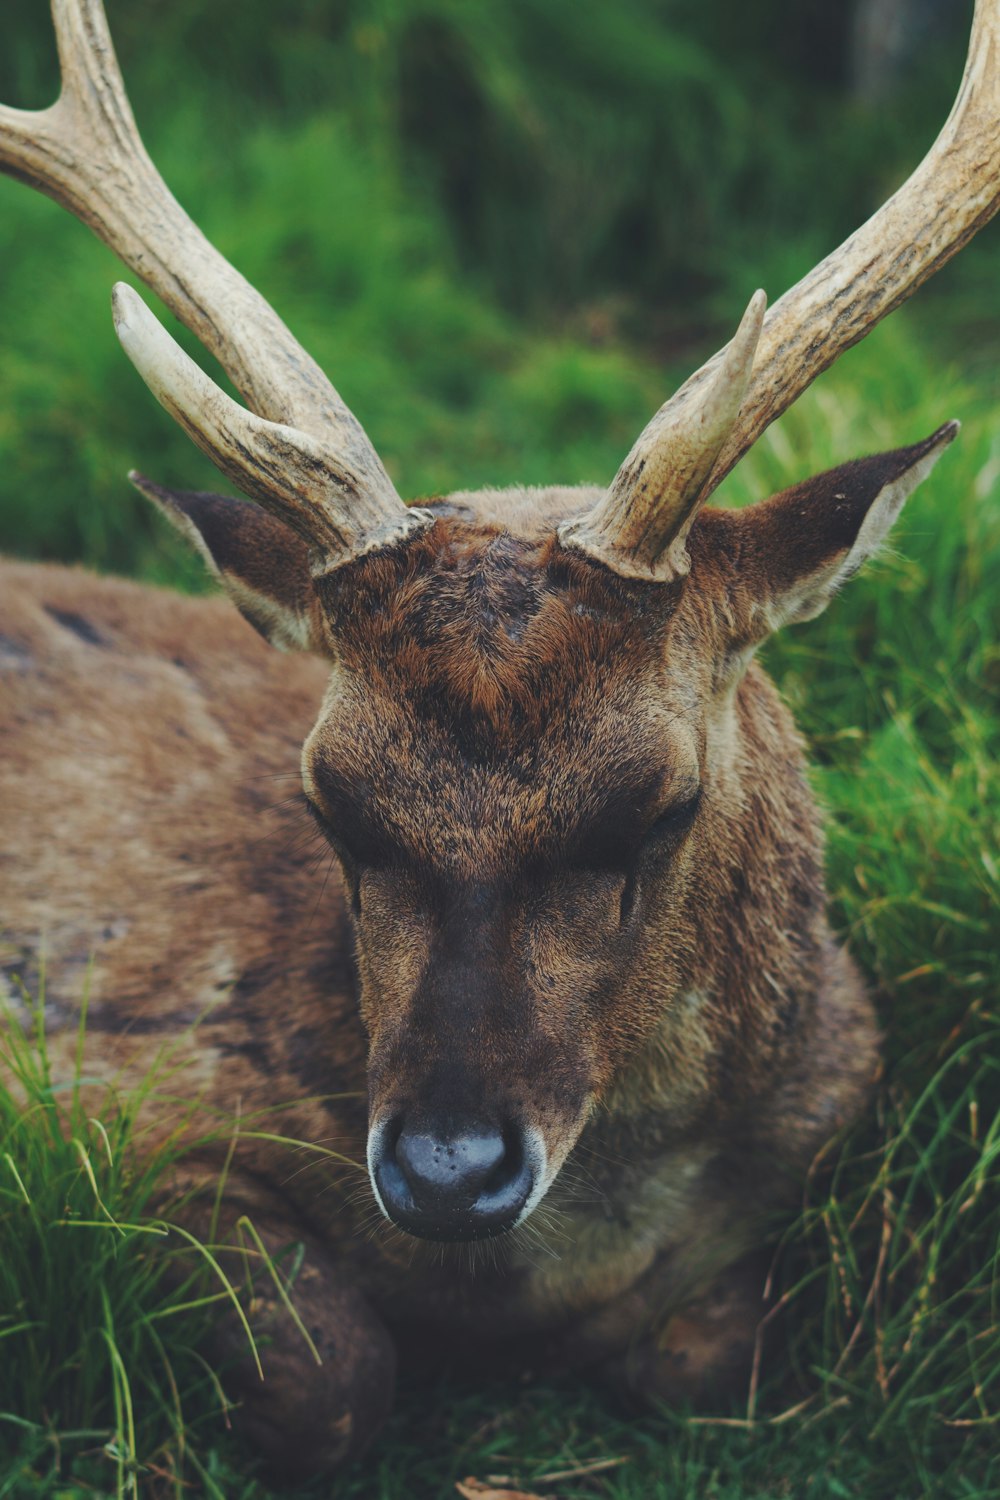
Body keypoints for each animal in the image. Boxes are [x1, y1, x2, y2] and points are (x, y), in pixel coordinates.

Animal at [0, 0, 995, 1476]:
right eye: (328, 800)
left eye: (662, 803)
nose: (445, 1171)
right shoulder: (107, 1102)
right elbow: (333, 1372)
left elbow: (711, 1359)